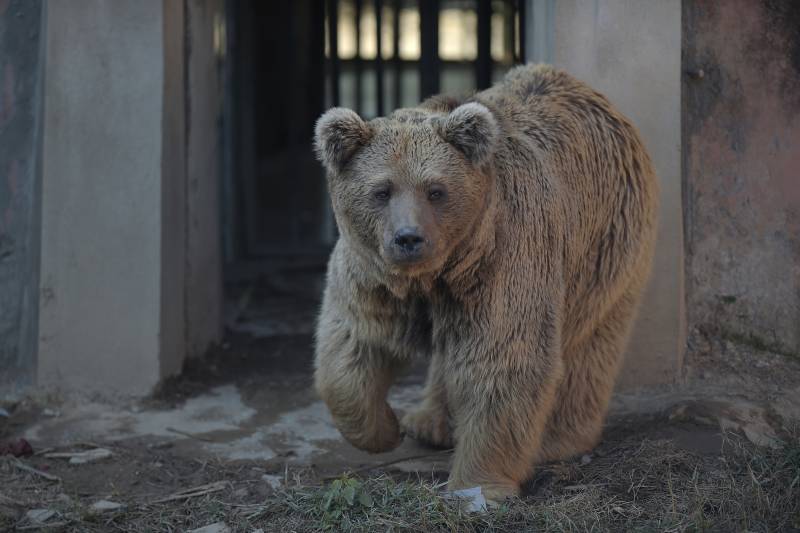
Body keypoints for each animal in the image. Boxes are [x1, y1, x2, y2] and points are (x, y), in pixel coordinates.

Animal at [310, 62, 656, 498]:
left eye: (436, 190)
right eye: (382, 190)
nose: (409, 238)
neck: (437, 273)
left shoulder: (504, 258)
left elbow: (502, 357)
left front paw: (476, 486)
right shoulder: (374, 273)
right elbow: (353, 345)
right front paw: (385, 428)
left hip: (606, 246)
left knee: (590, 344)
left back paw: (559, 439)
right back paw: (428, 422)